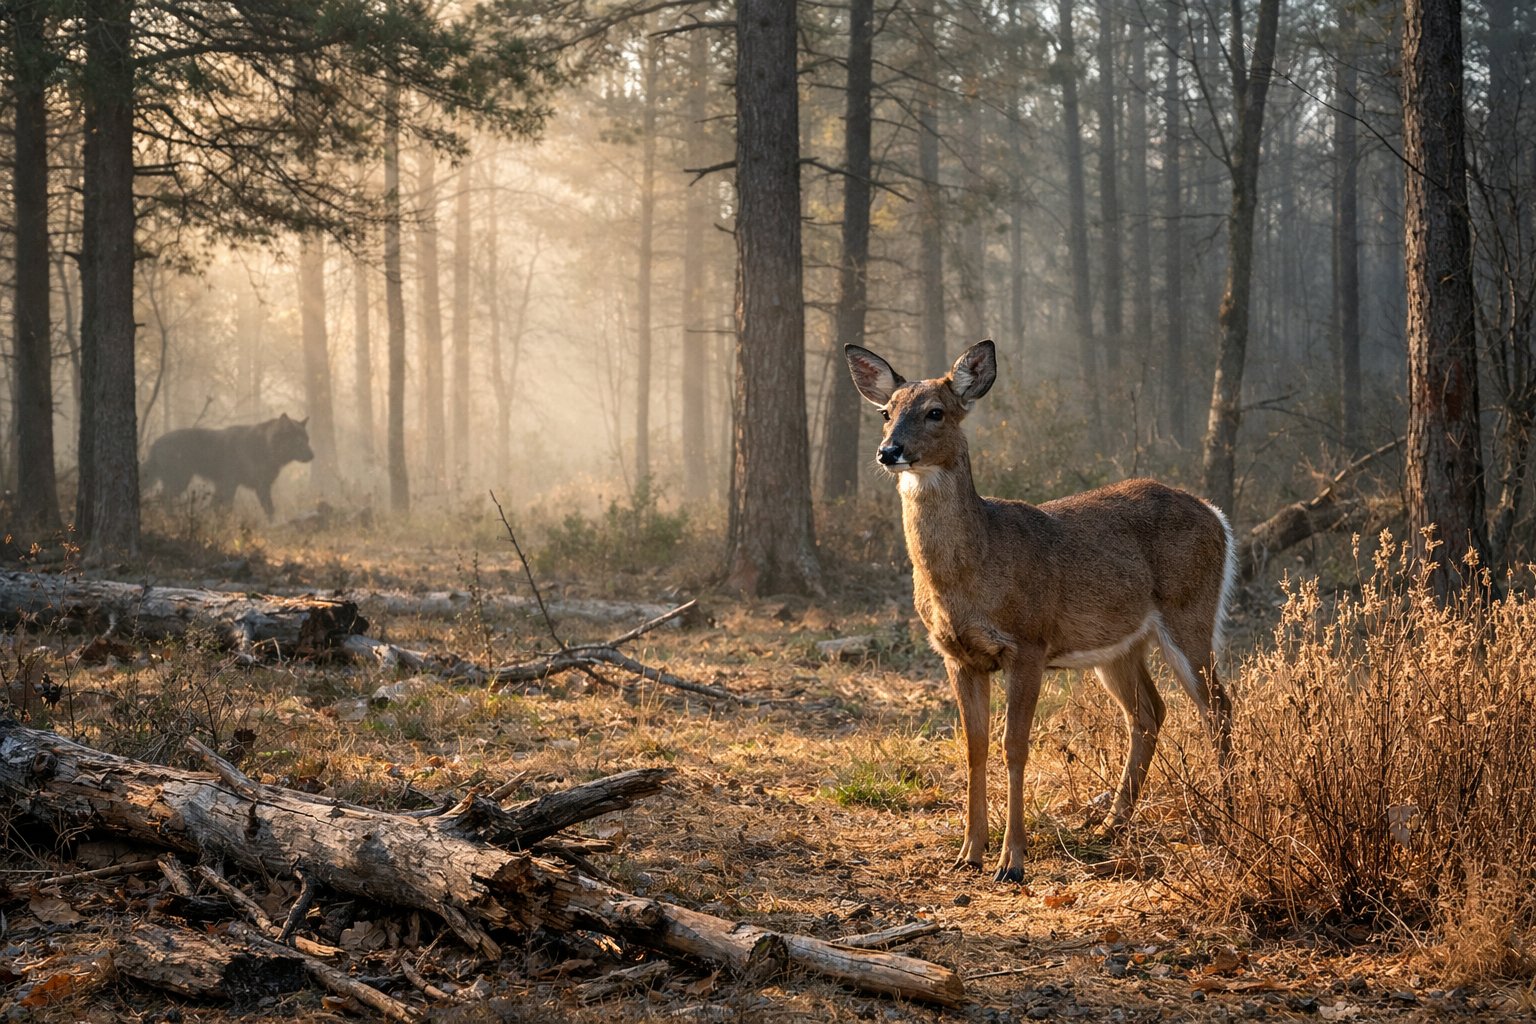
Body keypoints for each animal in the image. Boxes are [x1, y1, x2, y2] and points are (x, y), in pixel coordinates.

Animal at [844, 339, 1235, 883]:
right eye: (886, 412)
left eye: (935, 412)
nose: (889, 451)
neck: (973, 569)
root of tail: (1218, 516)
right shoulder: (957, 655)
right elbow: (974, 745)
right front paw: (969, 852)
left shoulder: (1027, 643)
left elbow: (1015, 746)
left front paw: (1012, 861)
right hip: (1119, 645)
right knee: (1149, 711)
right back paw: (1111, 823)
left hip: (1190, 612)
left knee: (1217, 706)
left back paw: (1227, 820)